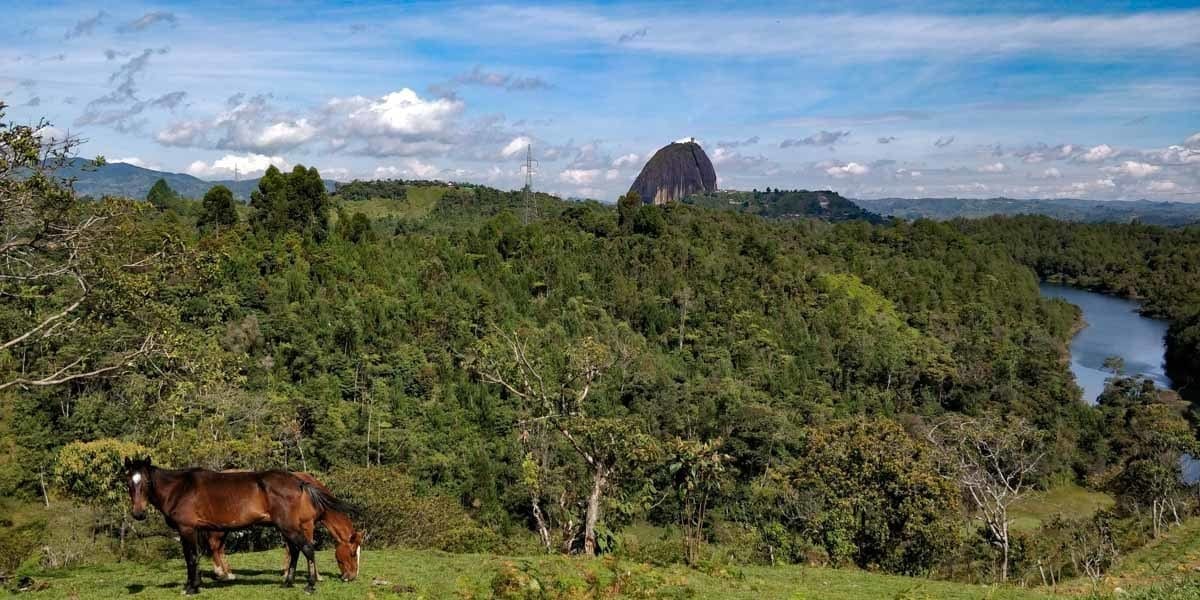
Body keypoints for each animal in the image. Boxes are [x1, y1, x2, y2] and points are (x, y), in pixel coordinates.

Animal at [205, 472, 360, 580]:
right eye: (353, 553)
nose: (352, 576)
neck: (311, 496)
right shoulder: (307, 524)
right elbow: (308, 546)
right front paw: (317, 576)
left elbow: (290, 549)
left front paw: (287, 573)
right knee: (215, 546)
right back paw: (222, 573)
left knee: (219, 548)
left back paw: (227, 573)